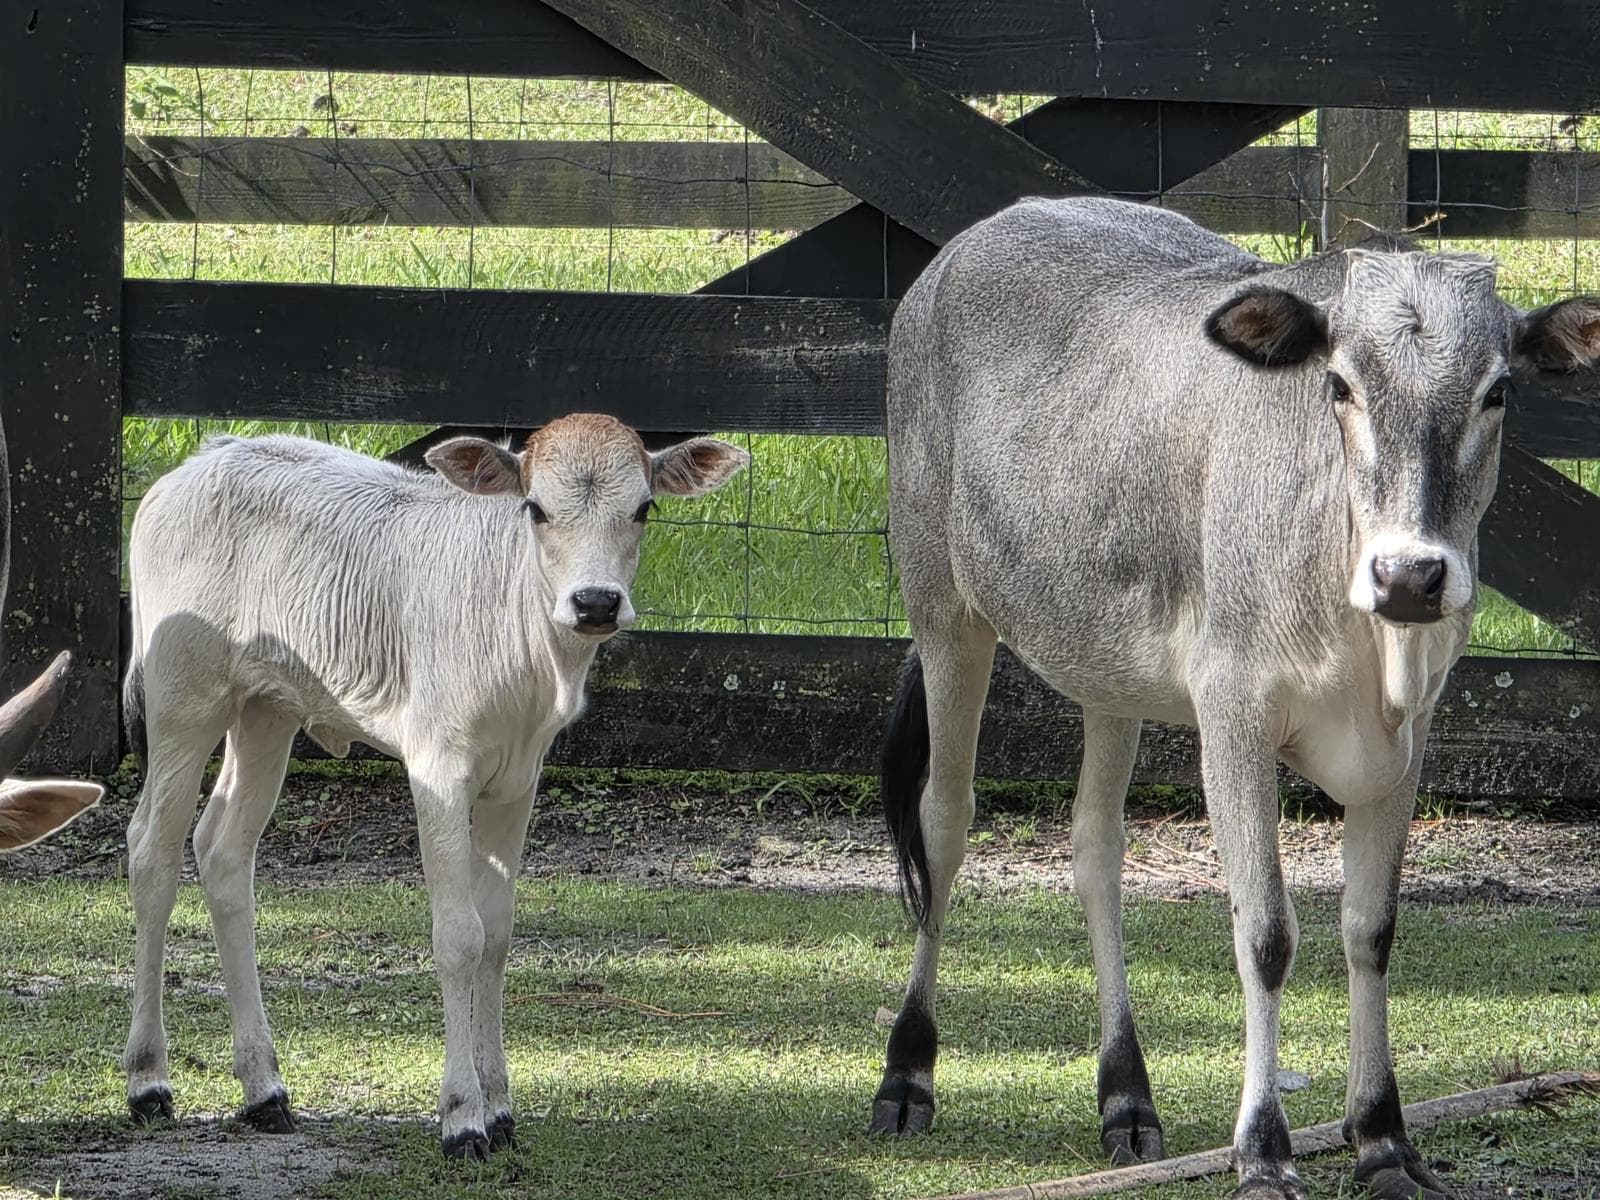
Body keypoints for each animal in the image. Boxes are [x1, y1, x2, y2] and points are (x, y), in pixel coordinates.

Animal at [120, 415, 747, 1159]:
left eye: (644, 508)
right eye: (535, 508)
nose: (595, 602)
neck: (524, 649)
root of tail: (197, 464)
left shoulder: (518, 780)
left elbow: (497, 935)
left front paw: (500, 1107)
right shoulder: (438, 768)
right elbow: (459, 935)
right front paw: (462, 1117)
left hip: (268, 709)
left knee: (222, 852)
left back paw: (264, 1088)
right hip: (182, 698)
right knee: (152, 851)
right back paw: (148, 1081)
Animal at [870, 196, 1600, 1199]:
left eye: (1499, 392)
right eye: (1339, 385)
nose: (1410, 576)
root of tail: (967, 245)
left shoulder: (1406, 740)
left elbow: (1370, 928)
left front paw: (1383, 1138)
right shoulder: (1234, 718)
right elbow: (1266, 933)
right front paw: (1262, 1149)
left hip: (1108, 672)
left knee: (1096, 847)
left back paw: (1126, 1094)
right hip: (944, 610)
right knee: (943, 822)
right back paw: (906, 1072)